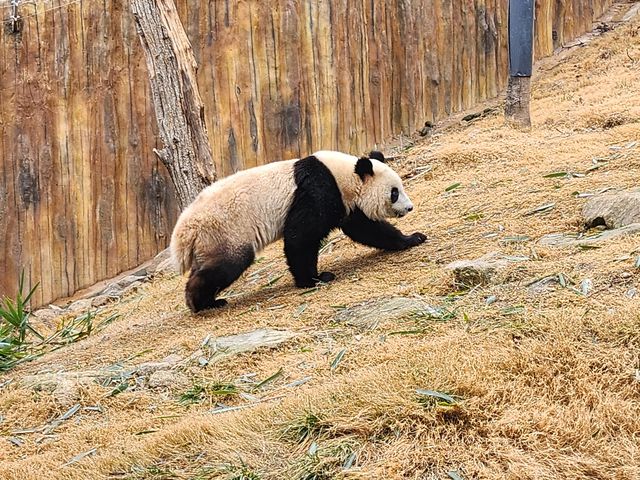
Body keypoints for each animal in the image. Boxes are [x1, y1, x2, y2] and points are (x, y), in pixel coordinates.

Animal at [172, 151, 428, 316]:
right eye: (394, 192)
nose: (409, 208)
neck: (343, 175)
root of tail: (184, 231)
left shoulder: (345, 204)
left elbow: (367, 229)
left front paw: (412, 238)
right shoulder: (318, 191)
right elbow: (301, 237)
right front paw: (315, 279)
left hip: (209, 241)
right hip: (226, 231)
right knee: (228, 264)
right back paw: (200, 302)